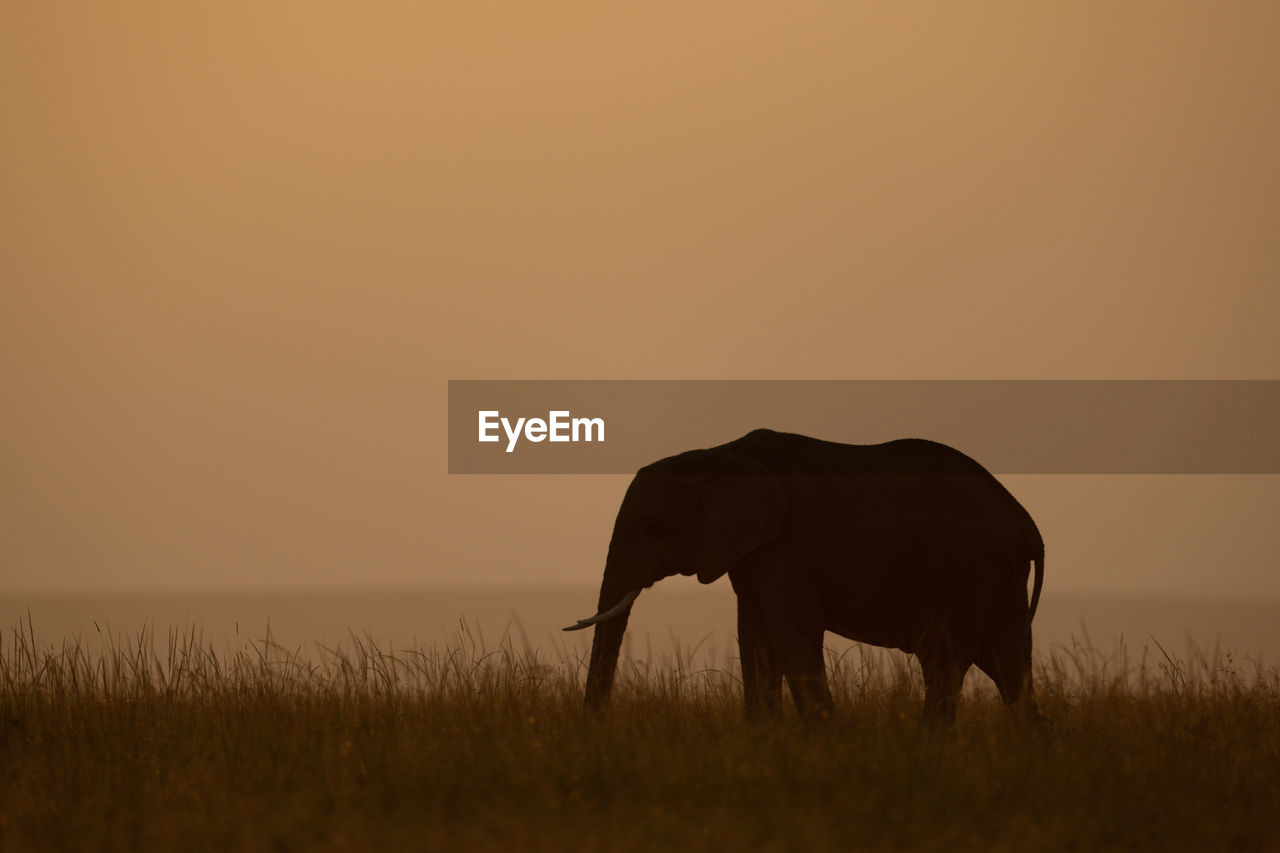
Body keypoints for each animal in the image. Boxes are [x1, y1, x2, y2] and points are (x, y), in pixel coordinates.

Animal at [565, 427, 1044, 722]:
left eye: (651, 526)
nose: (598, 727)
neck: (717, 453)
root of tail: (1028, 527)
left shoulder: (787, 541)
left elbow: (791, 631)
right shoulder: (753, 550)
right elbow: (757, 636)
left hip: (967, 570)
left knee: (944, 663)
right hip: (996, 578)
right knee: (1009, 667)